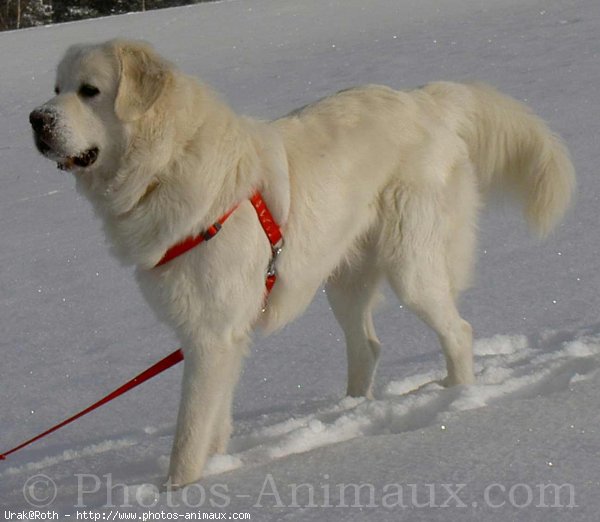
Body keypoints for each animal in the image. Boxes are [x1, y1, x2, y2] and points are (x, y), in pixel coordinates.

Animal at [30, 39, 576, 484]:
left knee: (458, 332)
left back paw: (456, 399)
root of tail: (423, 100)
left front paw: (178, 493)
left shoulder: (211, 335)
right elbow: (214, 422)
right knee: (368, 347)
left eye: (90, 90)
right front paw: (218, 467)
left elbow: (188, 438)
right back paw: (350, 412)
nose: (36, 119)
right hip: (344, 280)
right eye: (56, 88)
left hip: (411, 267)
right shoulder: (218, 337)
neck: (166, 164)